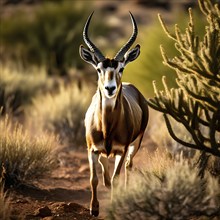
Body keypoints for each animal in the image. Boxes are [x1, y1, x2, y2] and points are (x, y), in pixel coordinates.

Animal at [78, 12, 149, 217]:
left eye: (121, 68)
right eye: (98, 69)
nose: (110, 89)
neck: (107, 127)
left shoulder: (121, 150)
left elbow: (117, 178)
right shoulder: (91, 149)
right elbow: (93, 179)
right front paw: (94, 209)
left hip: (135, 145)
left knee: (128, 166)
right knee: (105, 165)